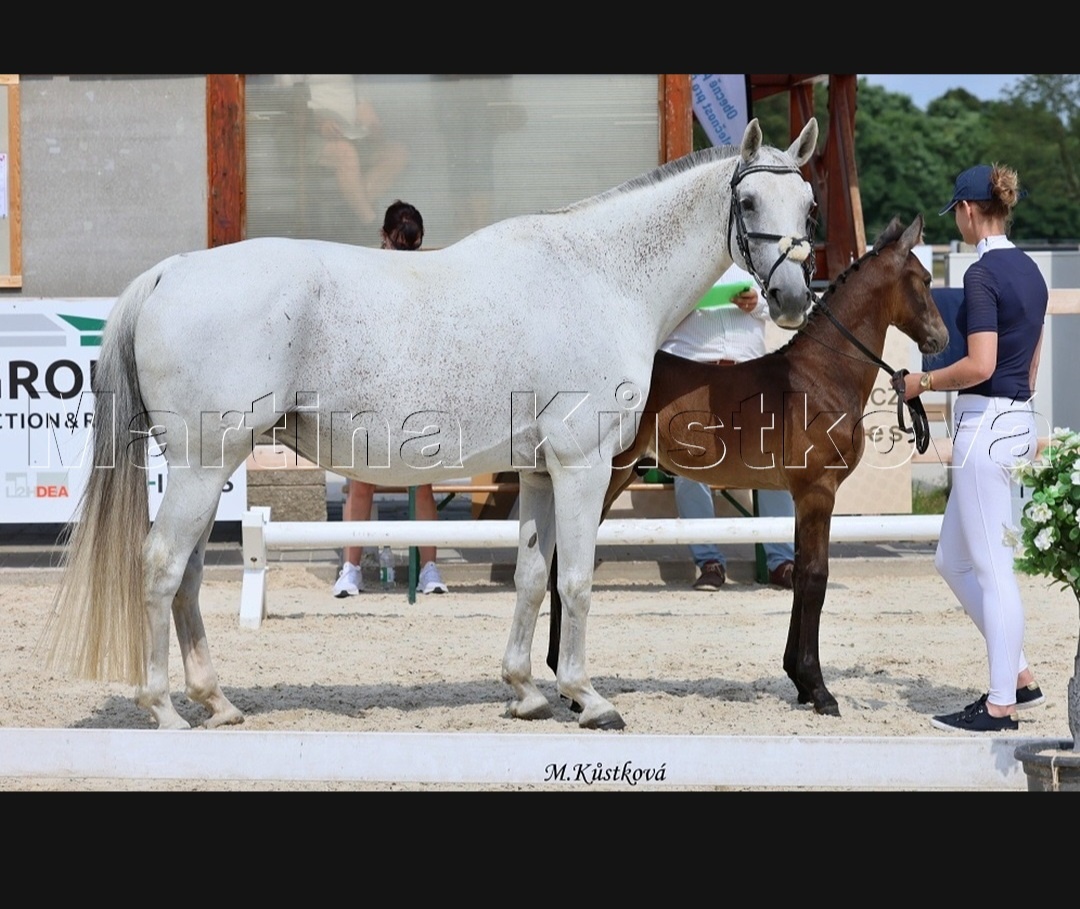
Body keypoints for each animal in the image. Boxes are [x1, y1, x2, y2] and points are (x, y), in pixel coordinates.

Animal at [44, 118, 816, 729]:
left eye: (808, 204)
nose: (789, 297)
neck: (599, 277)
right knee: (161, 566)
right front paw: (587, 698)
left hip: (210, 468)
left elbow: (531, 576)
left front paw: (525, 692)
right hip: (204, 464)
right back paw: (164, 708)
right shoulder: (583, 463)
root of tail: (171, 271)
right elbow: (575, 581)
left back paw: (218, 702)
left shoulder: (538, 471)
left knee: (191, 575)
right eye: (749, 200)